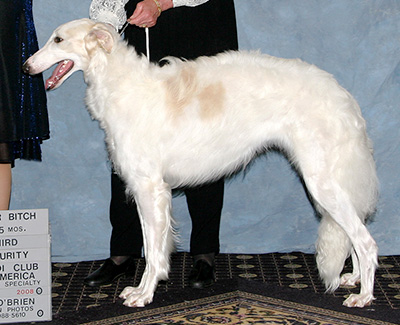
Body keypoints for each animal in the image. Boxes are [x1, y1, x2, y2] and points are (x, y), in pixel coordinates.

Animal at [23, 19, 380, 308]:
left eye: (58, 40)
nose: (26, 67)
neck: (123, 85)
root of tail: (343, 96)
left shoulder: (151, 188)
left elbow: (153, 252)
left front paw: (143, 293)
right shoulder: (142, 188)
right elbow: (150, 245)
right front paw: (140, 288)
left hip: (322, 181)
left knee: (366, 241)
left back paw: (363, 296)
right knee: (355, 235)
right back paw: (354, 278)